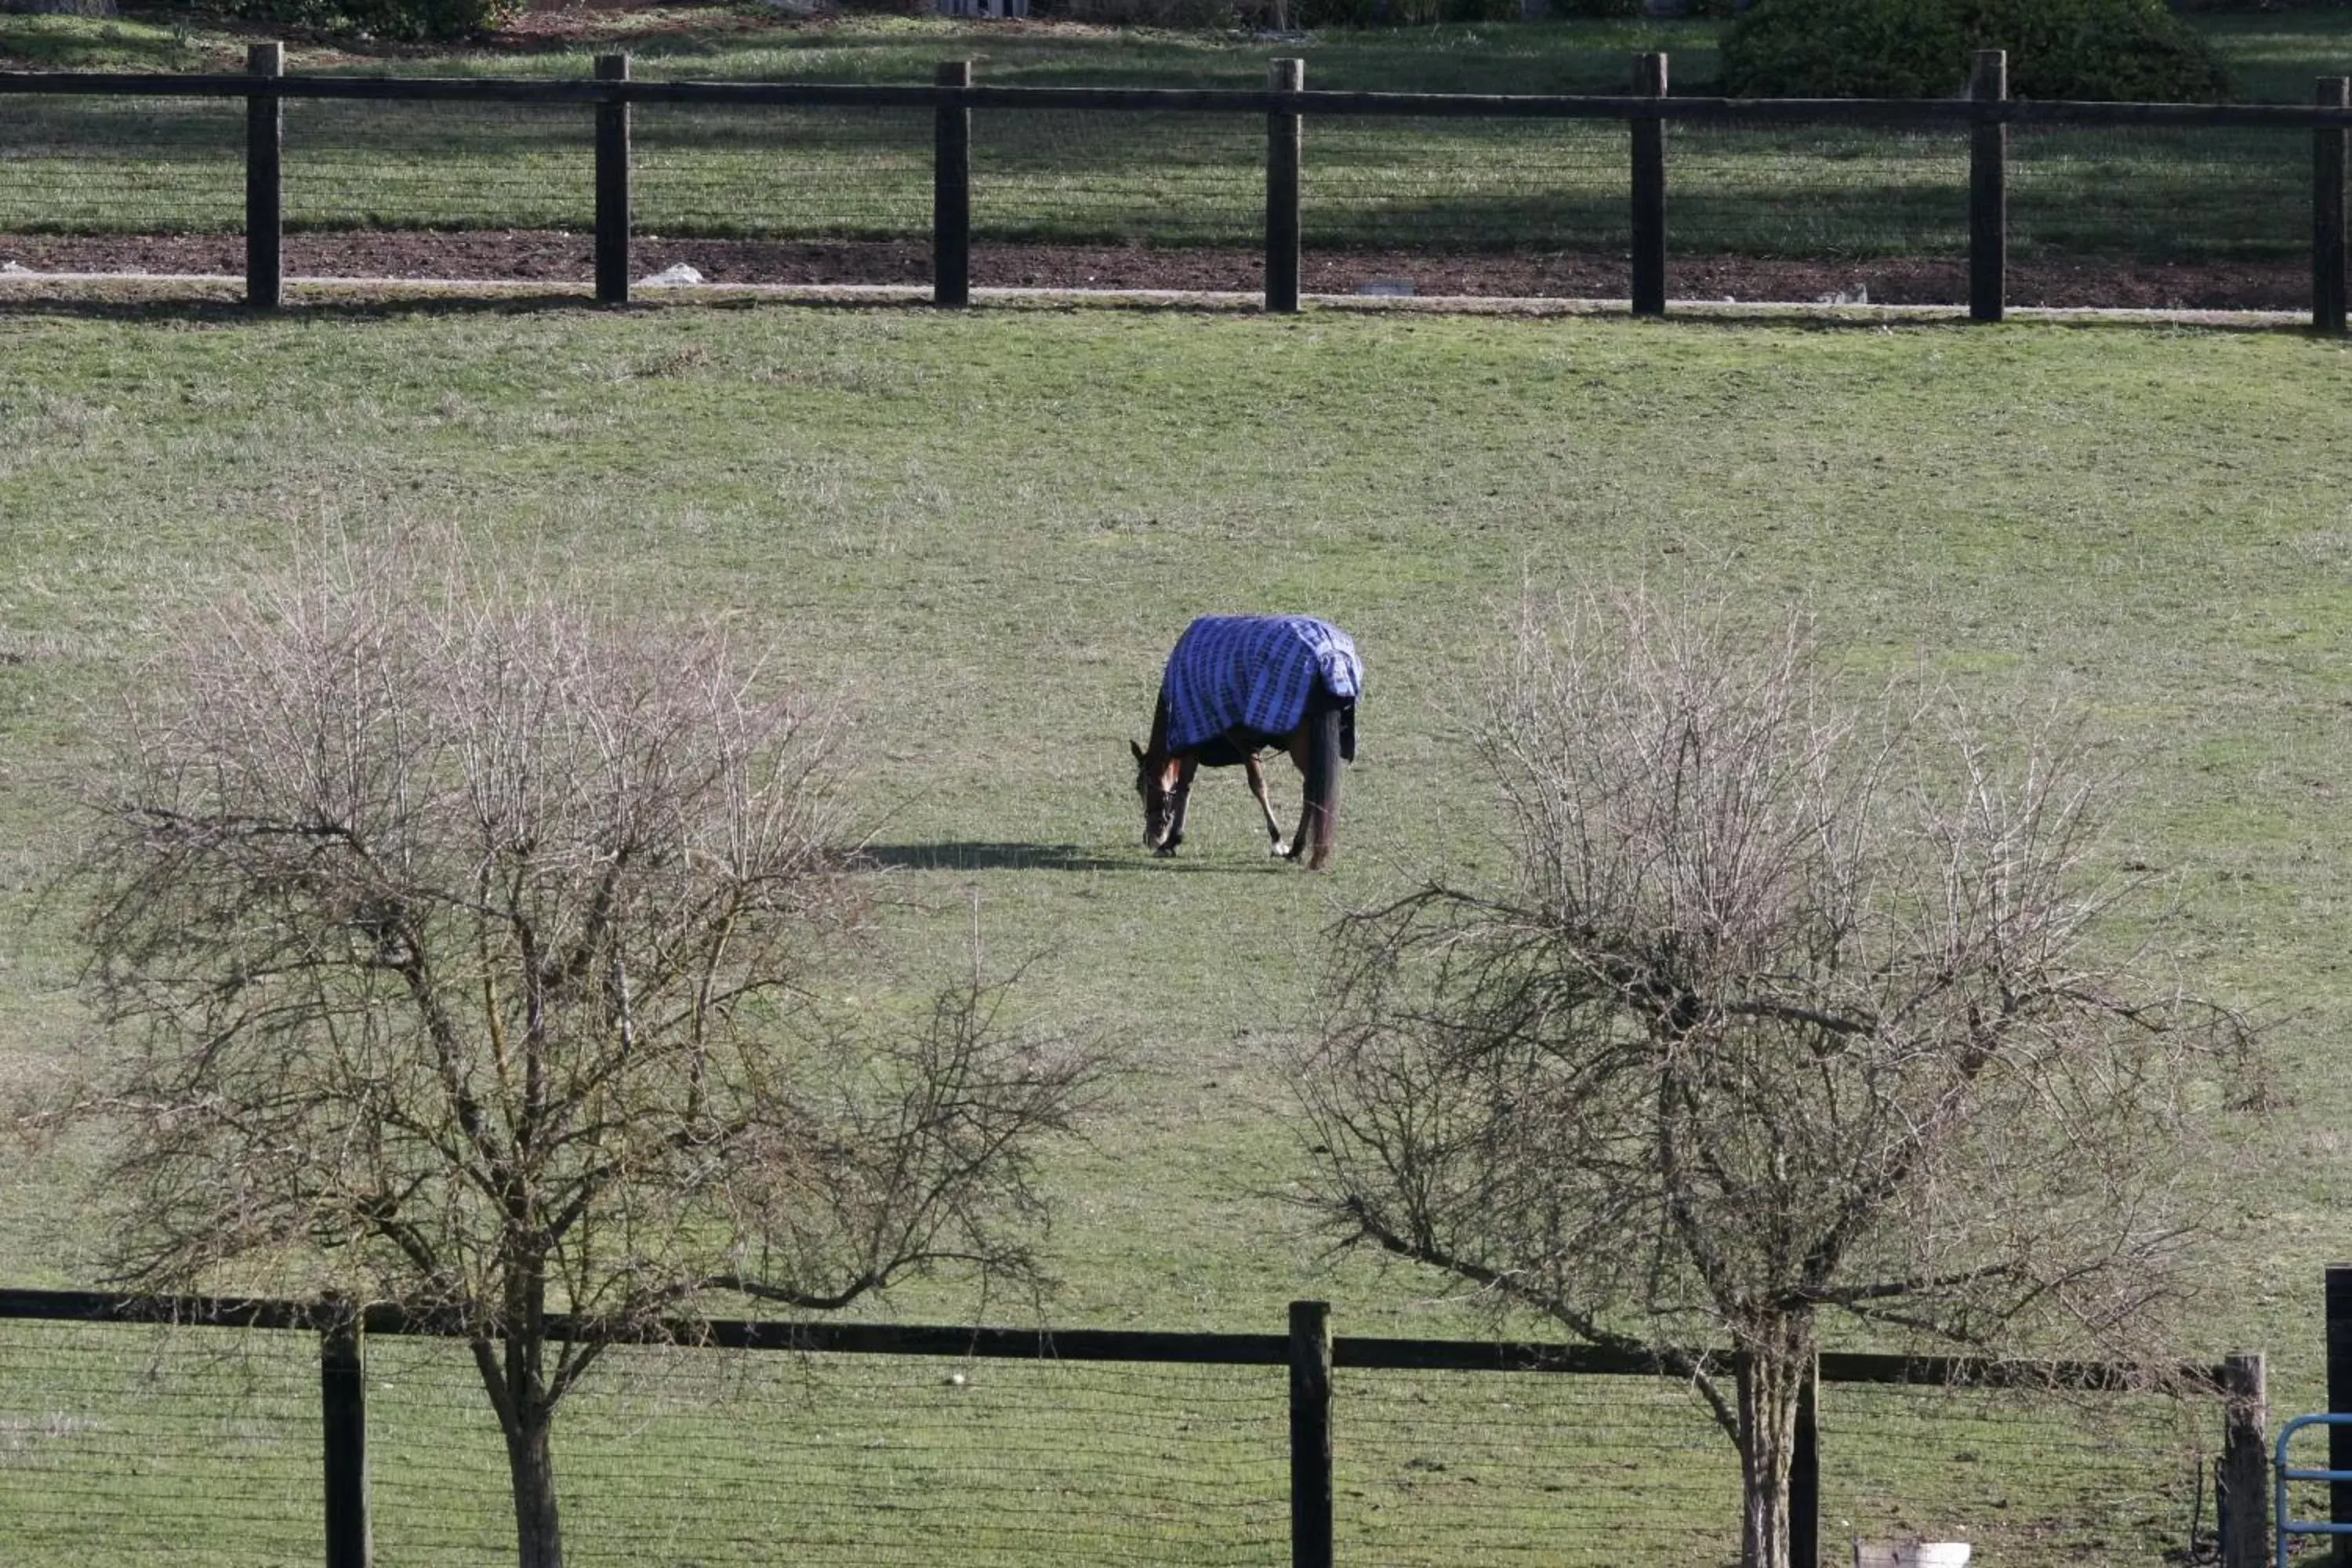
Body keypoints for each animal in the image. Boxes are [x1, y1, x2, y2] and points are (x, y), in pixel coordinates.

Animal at [1134, 615, 1374, 869]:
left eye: (1142, 786)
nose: (1150, 838)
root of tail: (1329, 656)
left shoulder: (1221, 739)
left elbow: (1249, 785)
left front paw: (1277, 840)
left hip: (1300, 742)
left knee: (1311, 787)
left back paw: (1297, 847)